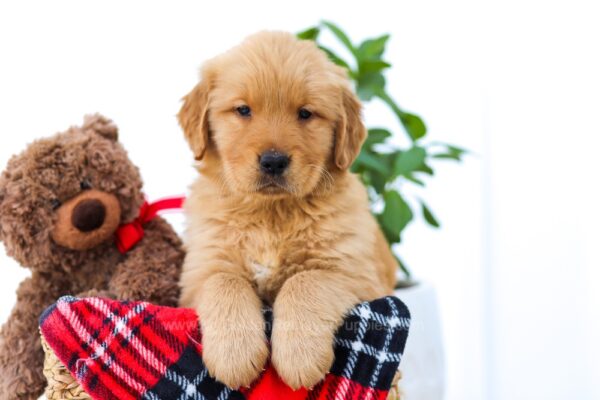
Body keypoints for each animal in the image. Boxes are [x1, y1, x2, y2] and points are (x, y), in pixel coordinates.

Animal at [179, 32, 398, 390]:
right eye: (243, 110)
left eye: (306, 114)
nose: (273, 161)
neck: (272, 214)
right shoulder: (201, 269)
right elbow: (225, 282)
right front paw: (233, 355)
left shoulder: (357, 275)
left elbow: (305, 280)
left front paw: (299, 357)